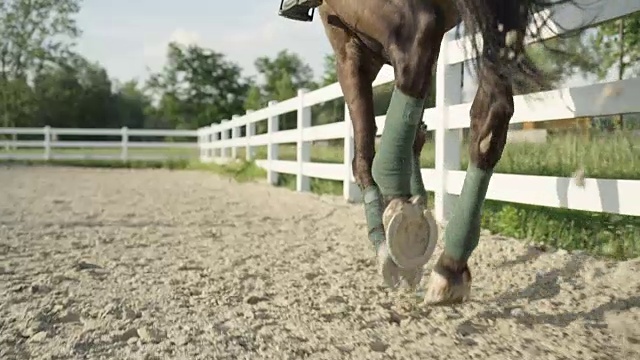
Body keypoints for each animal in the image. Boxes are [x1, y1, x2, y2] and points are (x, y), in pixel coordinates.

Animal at [278, 0, 576, 306]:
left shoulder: (348, 44)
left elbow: (363, 156)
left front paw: (386, 245)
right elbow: (411, 136)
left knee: (419, 37)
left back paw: (404, 223)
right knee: (490, 117)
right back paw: (449, 265)